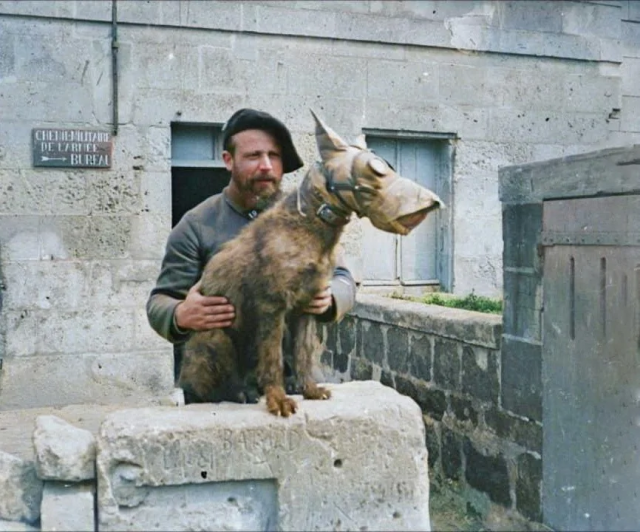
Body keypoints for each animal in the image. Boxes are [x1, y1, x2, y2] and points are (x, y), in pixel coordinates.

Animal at [178, 111, 442, 416]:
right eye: (373, 169)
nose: (432, 203)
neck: (309, 225)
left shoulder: (306, 306)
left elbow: (303, 354)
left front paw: (310, 390)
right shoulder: (272, 307)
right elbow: (273, 360)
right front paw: (278, 399)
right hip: (214, 339)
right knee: (210, 388)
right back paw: (241, 392)